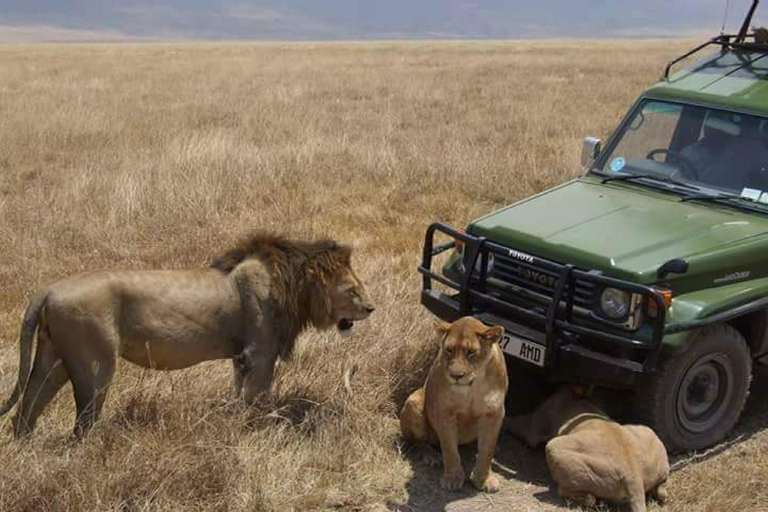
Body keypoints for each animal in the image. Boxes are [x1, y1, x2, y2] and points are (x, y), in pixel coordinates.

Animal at [0, 234, 376, 438]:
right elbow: (258, 398)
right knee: (83, 422)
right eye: (352, 290)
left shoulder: (241, 357)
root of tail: (48, 289)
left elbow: (238, 394)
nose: (371, 308)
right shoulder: (259, 352)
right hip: (94, 363)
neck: (292, 285)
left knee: (26, 411)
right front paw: (260, 429)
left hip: (53, 359)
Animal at [400, 316, 508, 492]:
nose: (456, 375)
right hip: (413, 402)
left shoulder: (494, 413)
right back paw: (432, 457)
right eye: (449, 350)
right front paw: (453, 478)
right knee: (418, 443)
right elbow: (449, 448)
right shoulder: (445, 412)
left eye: (471, 352)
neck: (472, 387)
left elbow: (486, 450)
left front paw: (484, 479)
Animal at [508, 388, 668, 512]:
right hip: (649, 435)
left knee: (587, 497)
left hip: (555, 448)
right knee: (662, 491)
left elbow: (517, 423)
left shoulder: (535, 425)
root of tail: (634, 477)